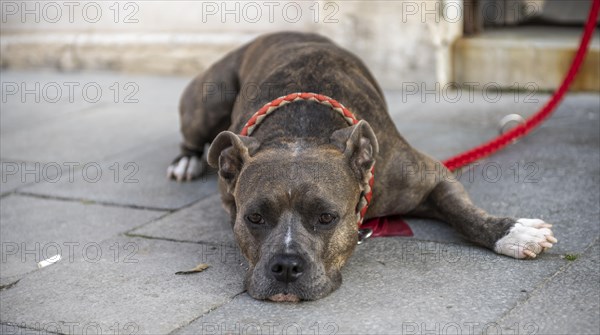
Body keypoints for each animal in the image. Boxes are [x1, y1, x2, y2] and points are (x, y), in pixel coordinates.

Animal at [166, 32, 556, 304]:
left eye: (327, 218)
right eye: (254, 218)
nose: (286, 267)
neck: (301, 131)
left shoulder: (430, 176)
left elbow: (463, 213)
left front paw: (512, 233)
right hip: (209, 100)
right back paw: (186, 161)